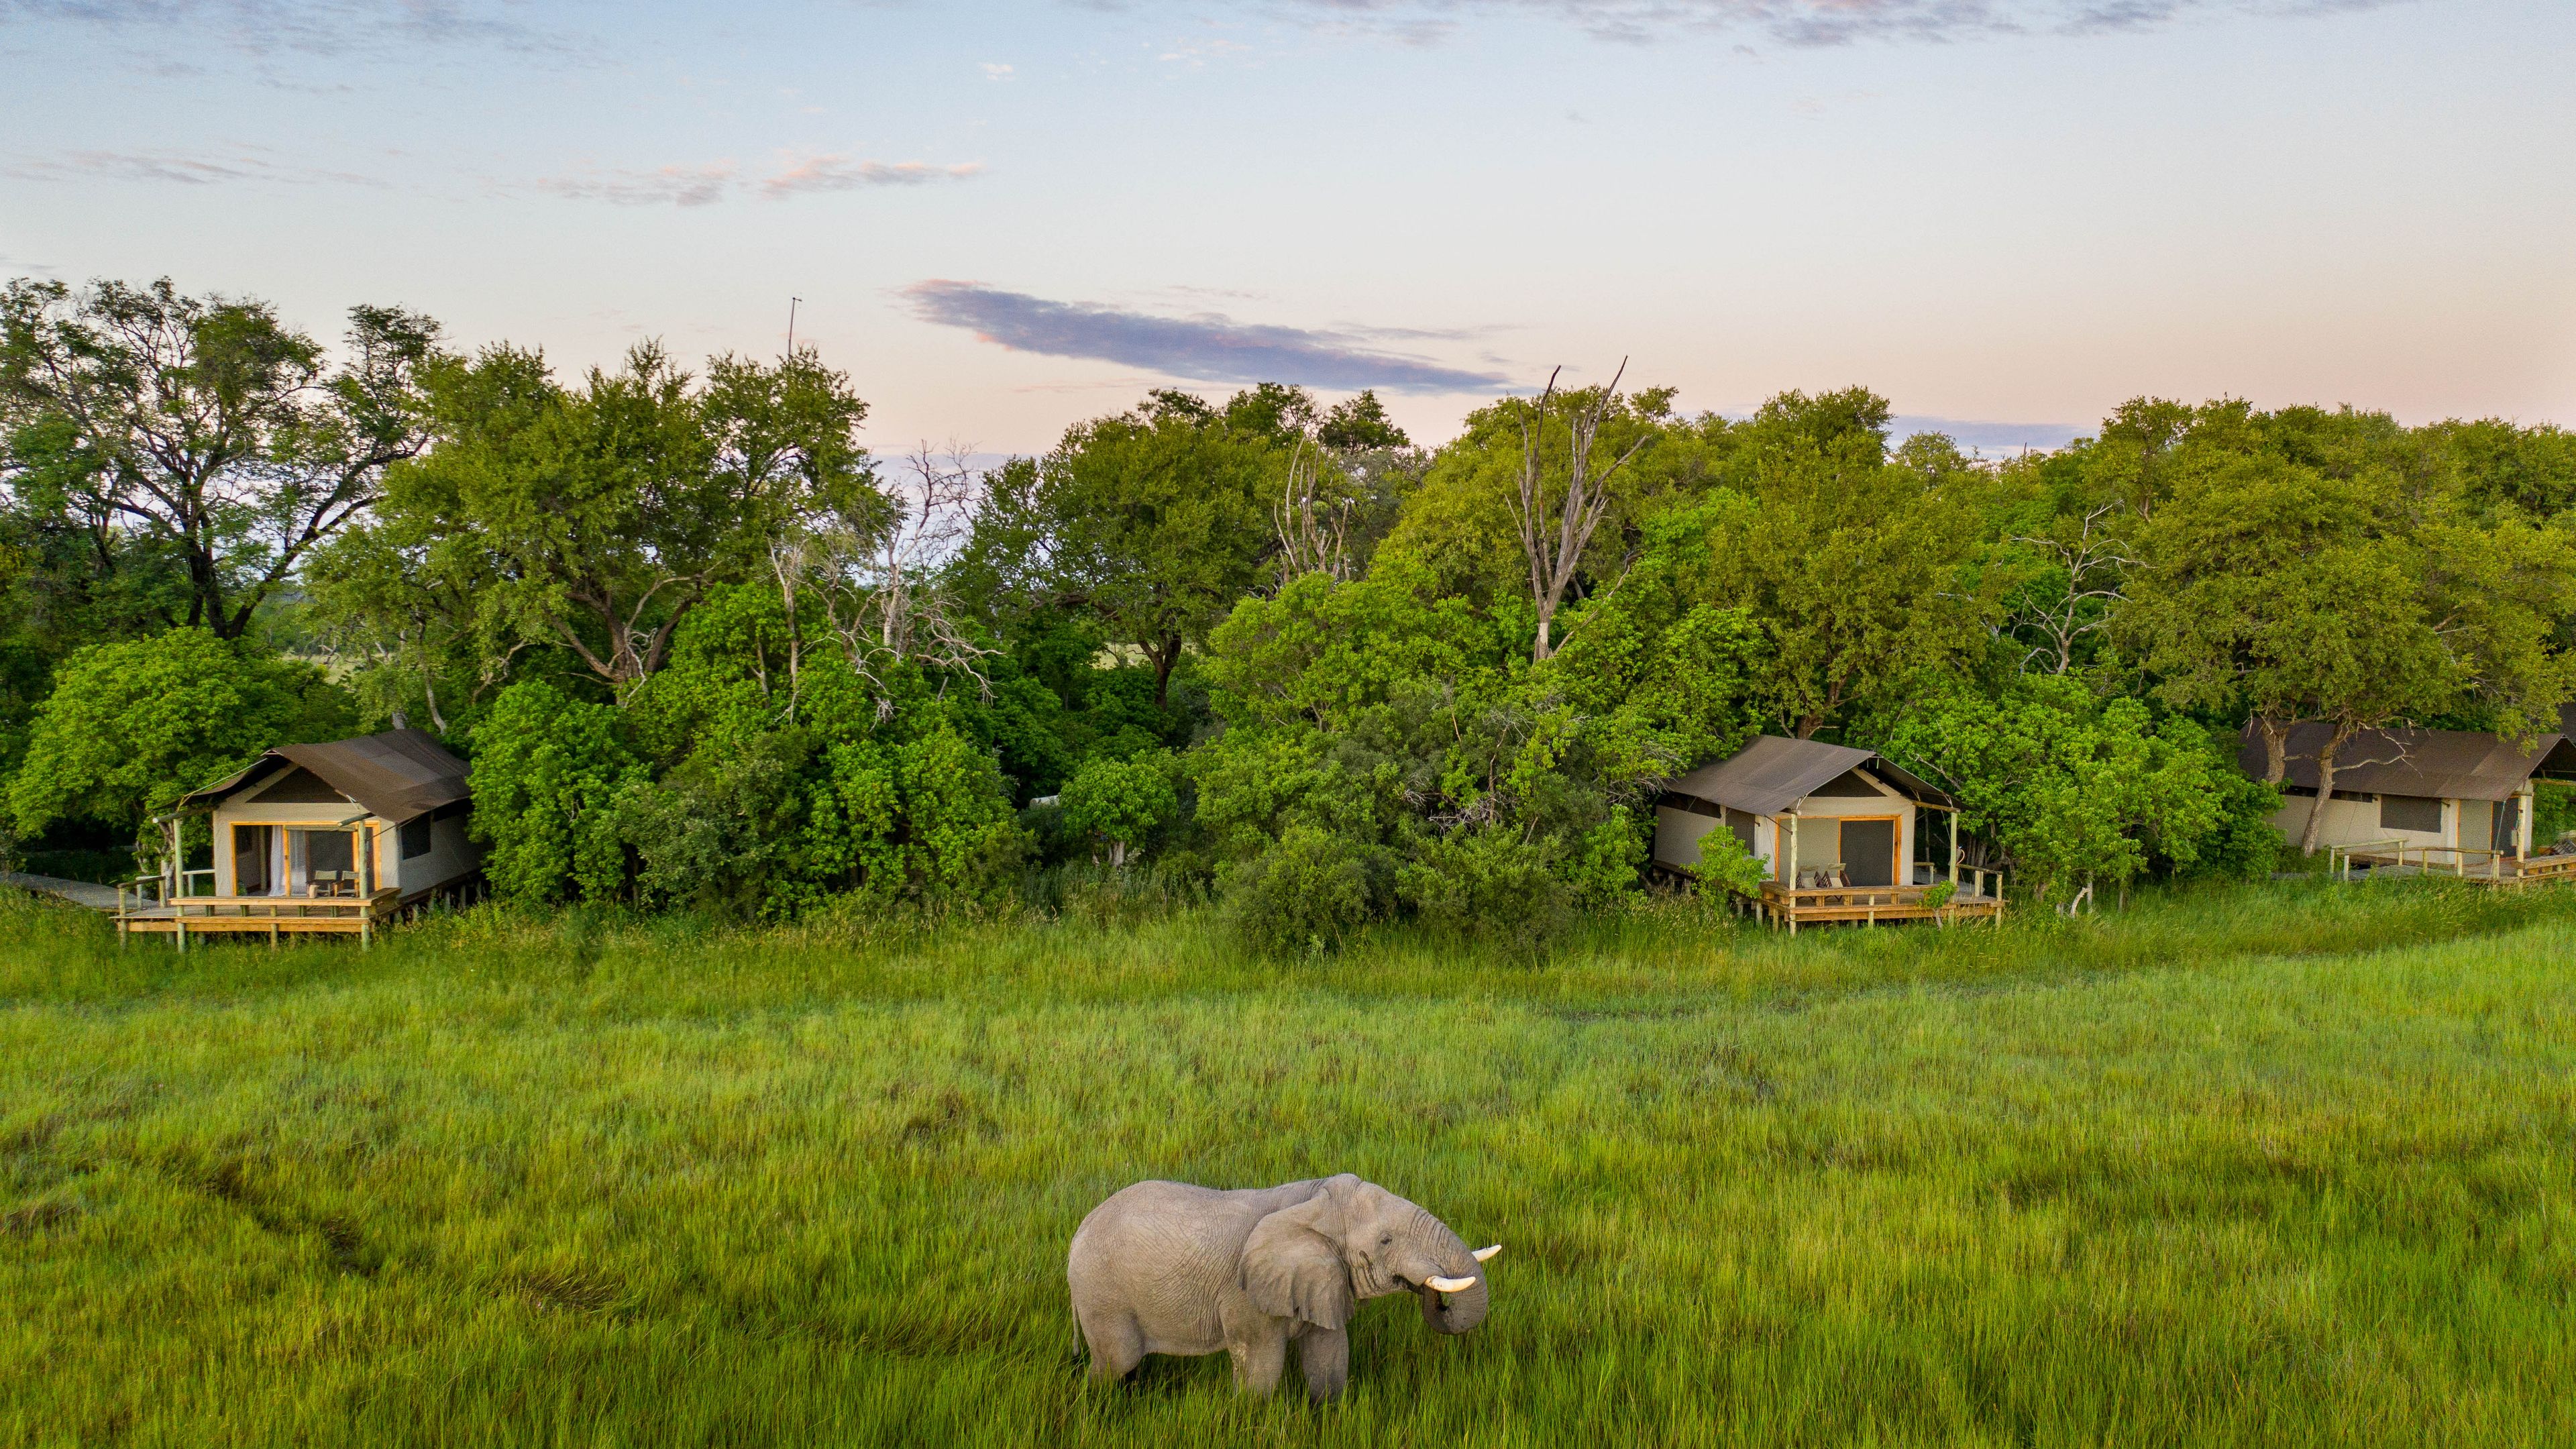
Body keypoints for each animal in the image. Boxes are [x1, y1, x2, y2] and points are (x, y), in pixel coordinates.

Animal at [1066, 1175, 1504, 1402]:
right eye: (1385, 1242)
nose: (1429, 1292)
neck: (1312, 1199)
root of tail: (1078, 1232)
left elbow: (1329, 1356)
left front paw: (1327, 1415)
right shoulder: (1244, 1297)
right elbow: (1262, 1370)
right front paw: (1249, 1419)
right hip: (1101, 1294)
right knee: (1115, 1362)